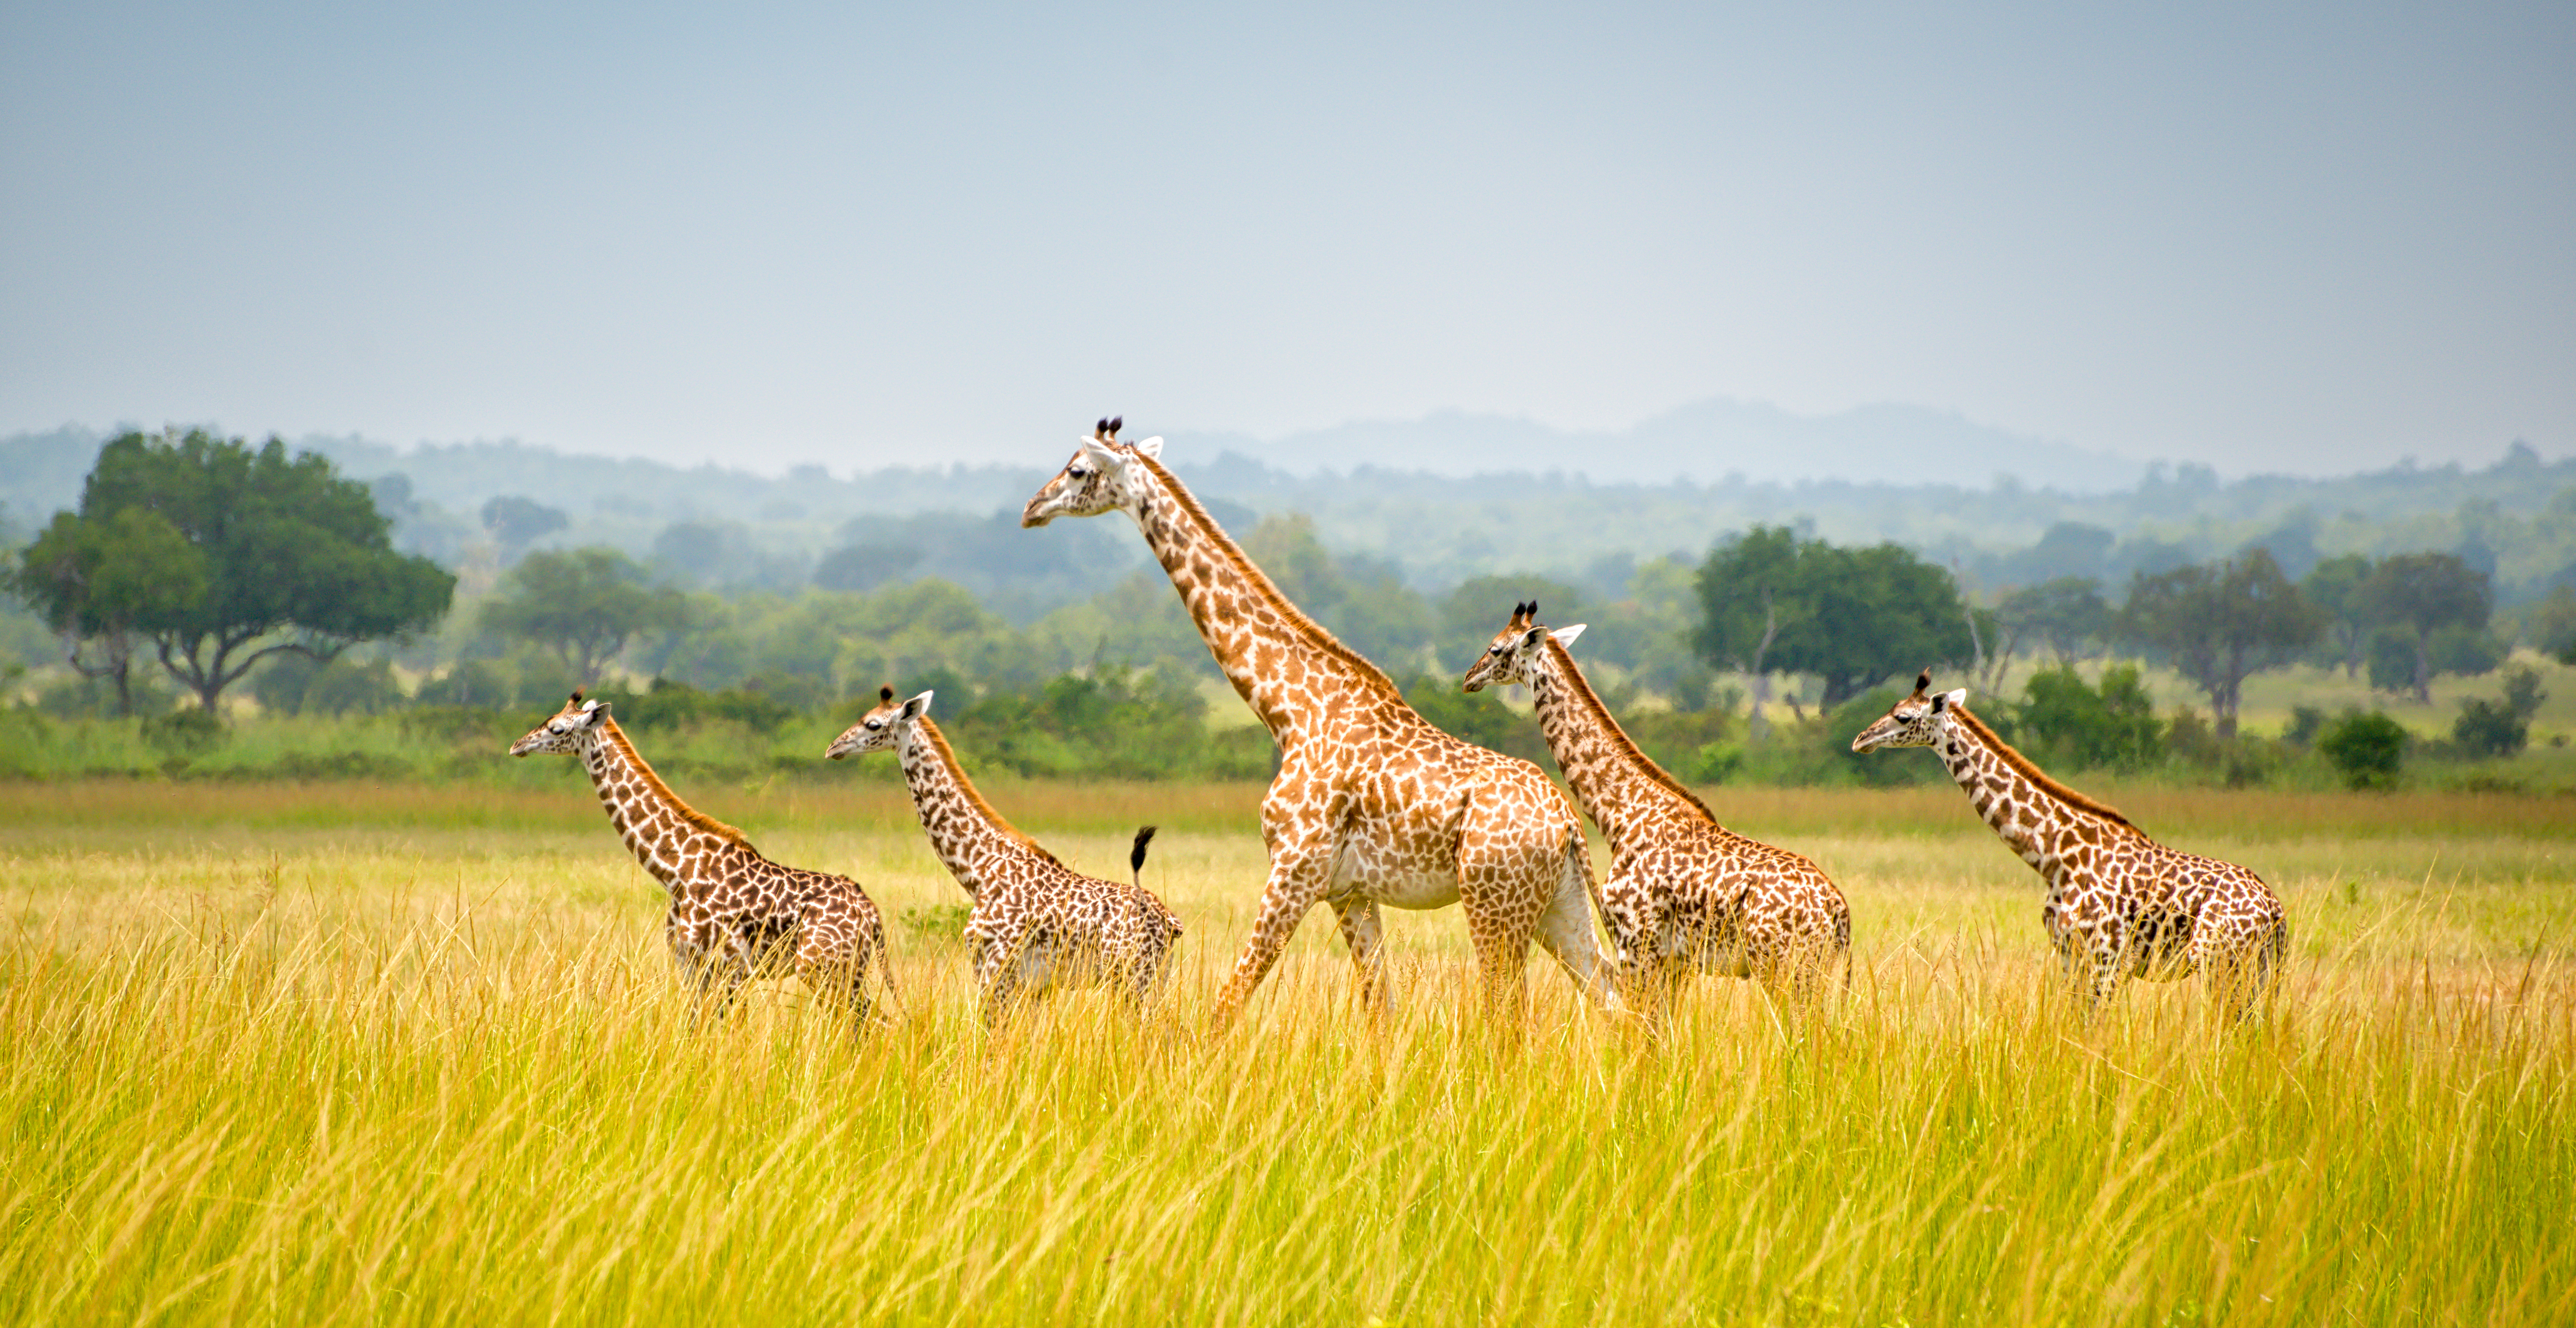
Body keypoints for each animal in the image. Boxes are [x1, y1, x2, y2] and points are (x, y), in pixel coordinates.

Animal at [510, 691, 894, 1021]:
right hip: (847, 969)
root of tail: (871, 912)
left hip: (823, 967)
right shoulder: (691, 966)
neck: (675, 869)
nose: (517, 745)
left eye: (557, 728)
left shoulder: (726, 968)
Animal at [827, 686, 1182, 1024]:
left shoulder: (992, 968)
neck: (978, 868)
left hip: (1134, 977)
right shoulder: (1033, 985)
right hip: (1154, 976)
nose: (833, 748)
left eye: (873, 724)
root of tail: (1170, 922)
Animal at [1021, 417, 1615, 1027]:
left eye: (1077, 470)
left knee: (1508, 1013)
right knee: (1613, 998)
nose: (1031, 508)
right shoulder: (1348, 890)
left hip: (1495, 902)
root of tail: (1567, 822)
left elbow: (1228, 1000)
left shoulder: (1295, 867)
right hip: (1556, 904)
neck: (1290, 710)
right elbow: (1380, 1006)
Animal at [1462, 602, 1850, 1015]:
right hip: (1812, 971)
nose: (1469, 678)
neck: (1621, 815)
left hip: (1782, 968)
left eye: (1496, 649)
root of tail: (1838, 910)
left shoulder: (1635, 946)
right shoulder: (1676, 963)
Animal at [1850, 672, 2287, 1017]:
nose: (1860, 739)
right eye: (1893, 708)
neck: (2053, 853)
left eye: (1903, 716)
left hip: (2219, 962)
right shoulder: (2068, 954)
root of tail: (2274, 910)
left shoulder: (2105, 959)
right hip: (2259, 970)